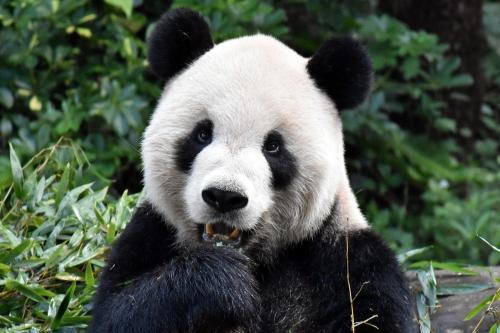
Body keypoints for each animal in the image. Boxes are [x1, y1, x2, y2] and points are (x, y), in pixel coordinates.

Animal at [90, 7, 414, 332]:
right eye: (202, 134)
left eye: (273, 147)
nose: (224, 197)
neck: (254, 258)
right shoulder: (151, 232)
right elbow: (119, 310)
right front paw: (222, 283)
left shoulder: (346, 258)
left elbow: (373, 315)